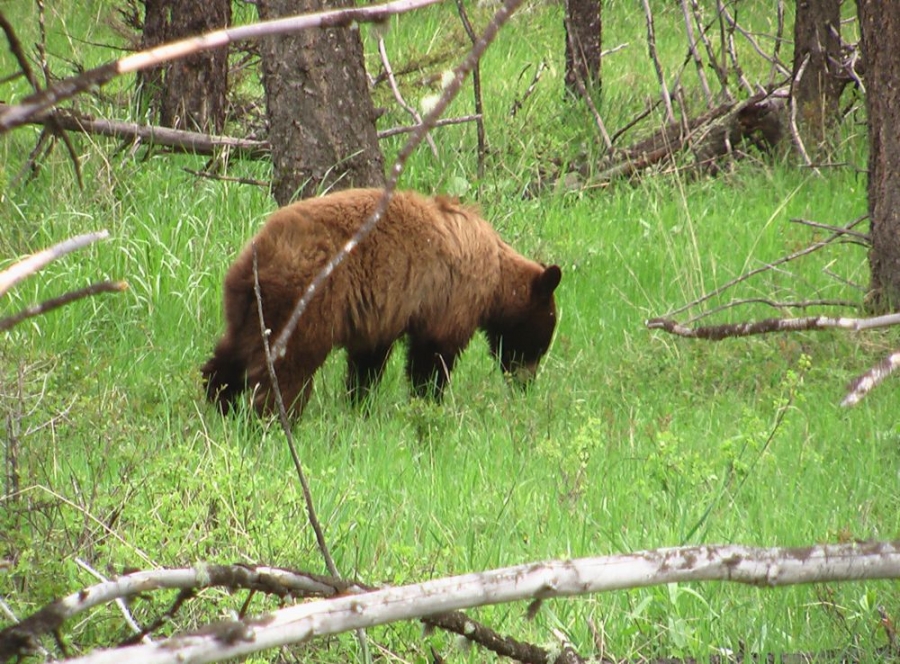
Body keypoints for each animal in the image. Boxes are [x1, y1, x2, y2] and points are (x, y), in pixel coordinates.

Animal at [202, 187, 564, 418]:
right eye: (540, 344)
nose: (526, 384)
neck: (495, 278)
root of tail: (261, 254)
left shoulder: (379, 312)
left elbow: (368, 360)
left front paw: (359, 403)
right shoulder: (450, 297)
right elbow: (432, 357)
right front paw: (428, 404)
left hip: (247, 307)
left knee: (230, 352)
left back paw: (218, 400)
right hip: (305, 301)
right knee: (288, 363)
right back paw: (275, 417)